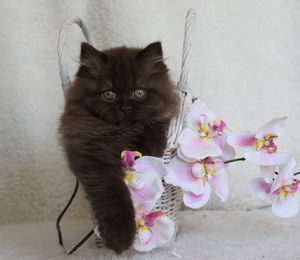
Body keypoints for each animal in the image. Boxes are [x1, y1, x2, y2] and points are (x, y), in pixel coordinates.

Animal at [59, 41, 179, 253]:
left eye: (139, 93)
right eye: (109, 94)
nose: (124, 107)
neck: (121, 132)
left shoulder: (163, 117)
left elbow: (153, 125)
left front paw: (150, 147)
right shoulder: (93, 156)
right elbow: (112, 194)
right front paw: (120, 238)